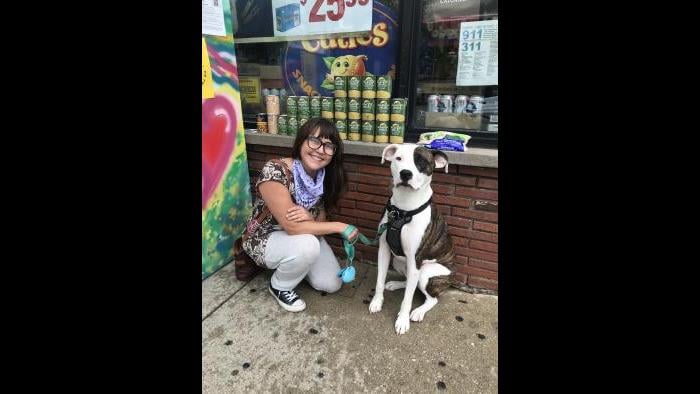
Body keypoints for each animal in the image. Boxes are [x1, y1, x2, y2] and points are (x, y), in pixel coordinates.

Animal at [370, 143, 456, 334]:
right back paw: (396, 284)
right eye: (398, 159)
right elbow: (379, 280)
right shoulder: (384, 250)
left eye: (421, 161)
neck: (403, 209)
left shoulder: (415, 258)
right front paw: (377, 301)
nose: (405, 173)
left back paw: (418, 312)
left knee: (431, 297)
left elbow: (407, 299)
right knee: (410, 282)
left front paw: (402, 321)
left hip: (425, 272)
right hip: (399, 262)